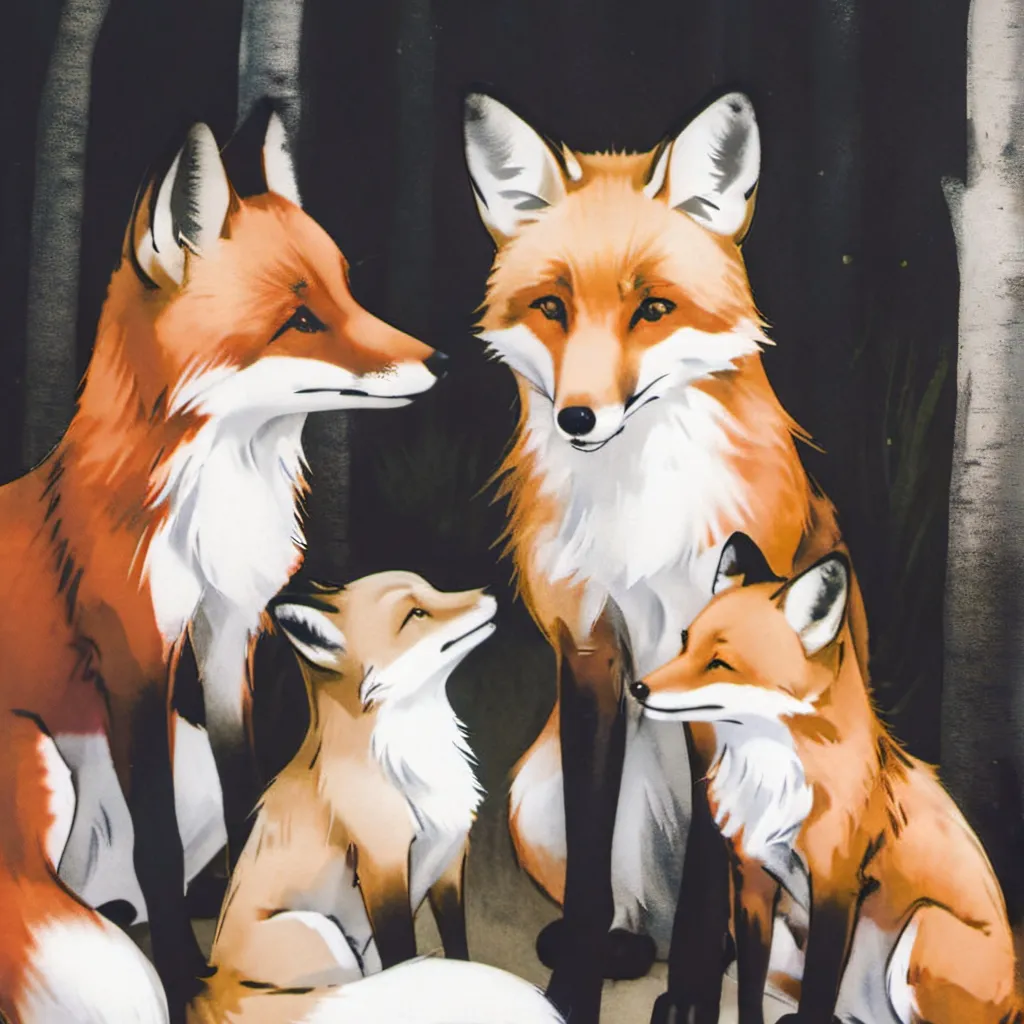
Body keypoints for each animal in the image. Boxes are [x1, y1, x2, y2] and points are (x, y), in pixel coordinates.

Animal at [0, 115, 444, 1021]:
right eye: (301, 318)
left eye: (348, 291)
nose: (441, 361)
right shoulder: (133, 657)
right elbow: (160, 847)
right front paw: (181, 975)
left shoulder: (228, 634)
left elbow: (250, 805)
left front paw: (238, 913)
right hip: (47, 750)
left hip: (182, 755)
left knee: (109, 890)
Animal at [188, 571, 560, 1024]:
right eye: (415, 614)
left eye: (433, 589)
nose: (491, 592)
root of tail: (211, 986)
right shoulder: (383, 866)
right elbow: (404, 953)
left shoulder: (450, 862)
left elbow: (458, 948)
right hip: (324, 933)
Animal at [462, 90, 870, 1021]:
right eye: (552, 308)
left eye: (653, 309)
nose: (579, 416)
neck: (636, 514)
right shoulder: (588, 648)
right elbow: (588, 871)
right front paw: (571, 991)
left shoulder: (725, 663)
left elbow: (708, 896)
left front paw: (687, 1002)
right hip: (532, 795)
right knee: (625, 904)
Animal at [629, 532, 1023, 1024]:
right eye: (685, 642)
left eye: (720, 663)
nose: (637, 688)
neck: (772, 779)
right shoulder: (751, 879)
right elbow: (751, 993)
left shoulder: (837, 888)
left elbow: (818, 990)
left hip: (920, 930)